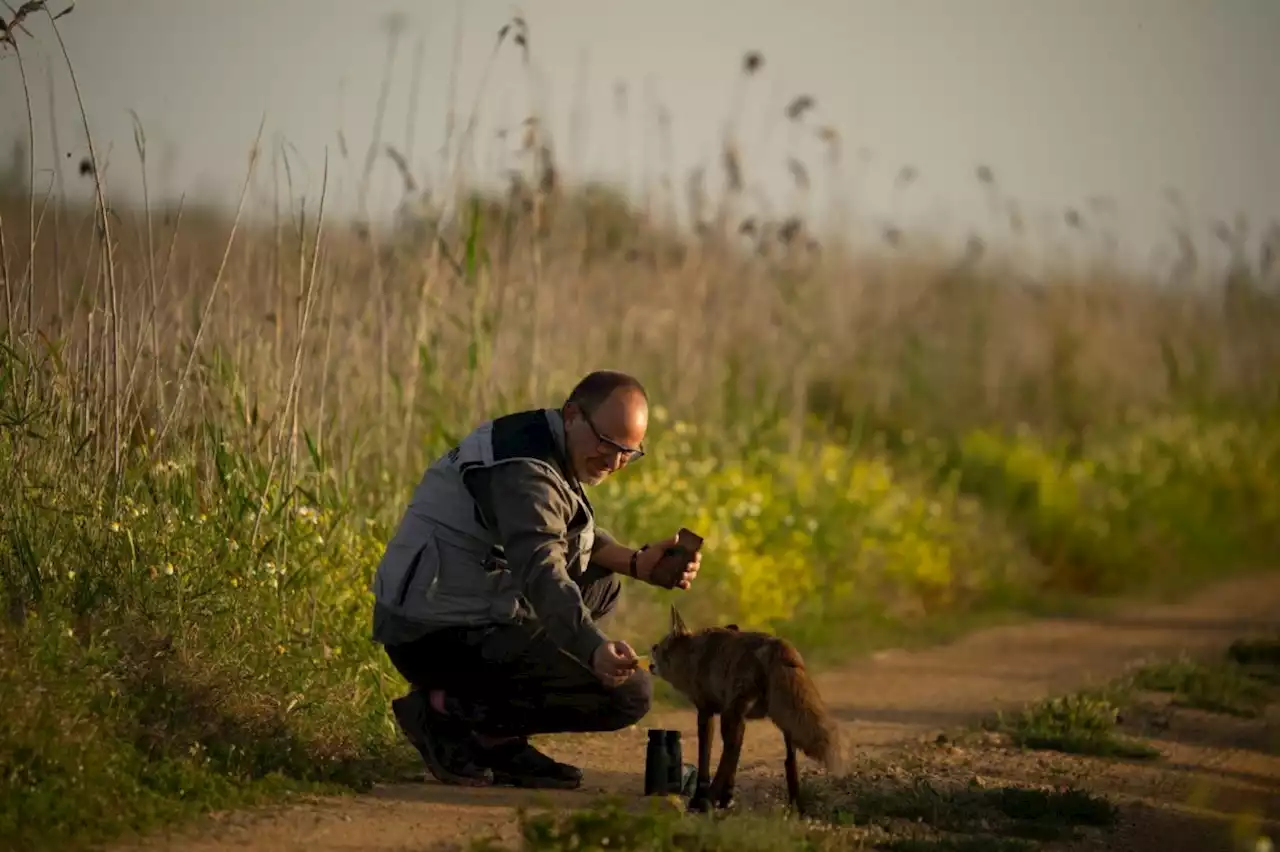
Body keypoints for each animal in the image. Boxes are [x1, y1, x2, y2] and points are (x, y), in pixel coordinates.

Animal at [645, 601, 844, 813]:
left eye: (658, 647)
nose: (651, 653)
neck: (692, 656)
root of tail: (780, 646)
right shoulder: (738, 718)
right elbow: (733, 759)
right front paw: (727, 798)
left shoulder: (706, 711)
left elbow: (705, 758)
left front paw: (702, 797)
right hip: (780, 721)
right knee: (788, 760)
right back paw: (794, 804)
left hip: (732, 716)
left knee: (730, 753)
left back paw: (708, 800)